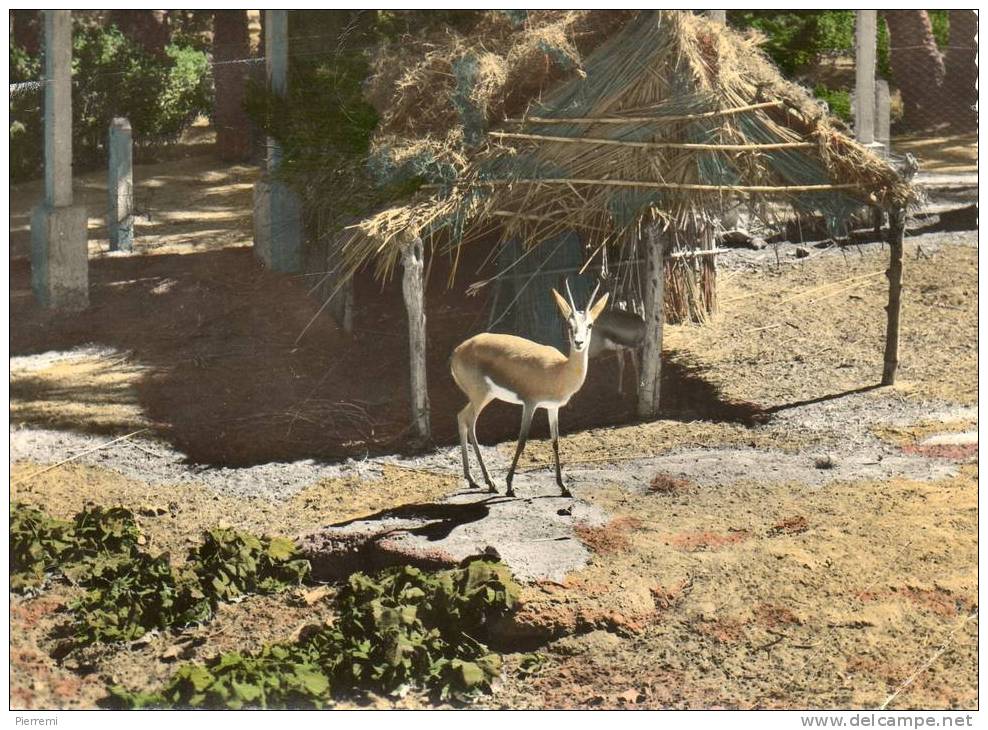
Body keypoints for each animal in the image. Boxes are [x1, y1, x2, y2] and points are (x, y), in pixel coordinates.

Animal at [450, 282, 609, 498]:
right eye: (569, 325)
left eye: (590, 325)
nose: (579, 342)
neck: (559, 371)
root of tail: (457, 351)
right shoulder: (530, 404)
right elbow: (522, 440)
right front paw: (510, 485)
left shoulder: (552, 407)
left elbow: (555, 442)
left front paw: (563, 486)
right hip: (480, 396)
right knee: (470, 423)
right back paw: (490, 482)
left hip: (485, 396)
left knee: (461, 417)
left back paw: (472, 479)